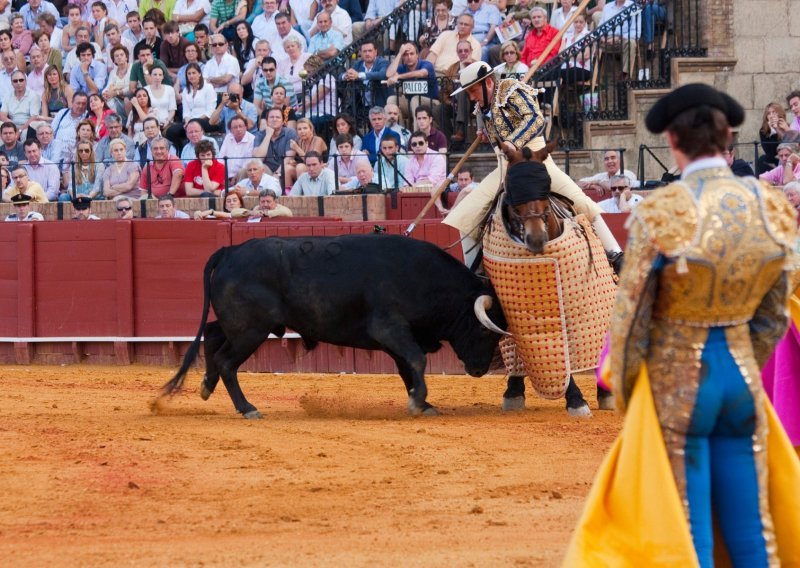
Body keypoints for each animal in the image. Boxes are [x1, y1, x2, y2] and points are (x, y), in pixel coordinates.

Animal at [161, 234, 506, 418]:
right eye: (484, 329)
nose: (480, 369)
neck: (424, 278)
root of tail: (229, 251)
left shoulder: (396, 340)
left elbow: (408, 368)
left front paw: (423, 402)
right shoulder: (390, 329)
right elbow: (417, 360)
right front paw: (417, 402)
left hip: (241, 326)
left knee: (212, 334)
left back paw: (207, 386)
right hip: (251, 331)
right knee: (226, 361)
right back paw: (247, 408)